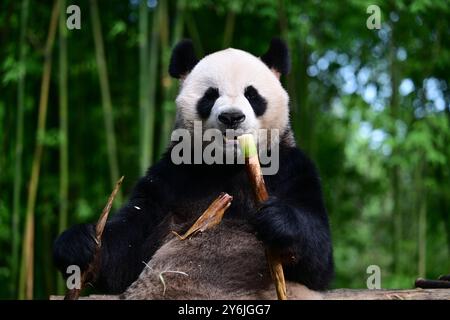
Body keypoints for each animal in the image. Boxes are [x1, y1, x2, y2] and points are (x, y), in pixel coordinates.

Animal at [53, 38, 334, 300]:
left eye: (252, 95)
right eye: (210, 95)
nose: (232, 117)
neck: (227, 166)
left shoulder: (291, 168)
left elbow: (318, 260)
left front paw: (276, 219)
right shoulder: (170, 177)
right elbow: (126, 249)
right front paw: (78, 244)